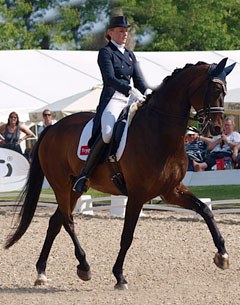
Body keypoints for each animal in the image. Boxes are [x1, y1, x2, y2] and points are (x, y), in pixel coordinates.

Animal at [4, 56, 235, 288]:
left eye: (224, 92)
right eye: (214, 89)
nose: (216, 129)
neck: (159, 133)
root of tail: (51, 128)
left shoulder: (171, 191)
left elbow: (205, 210)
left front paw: (222, 255)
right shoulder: (137, 194)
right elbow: (127, 235)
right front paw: (119, 276)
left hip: (74, 187)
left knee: (55, 222)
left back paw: (41, 272)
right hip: (60, 183)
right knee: (68, 221)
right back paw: (84, 266)